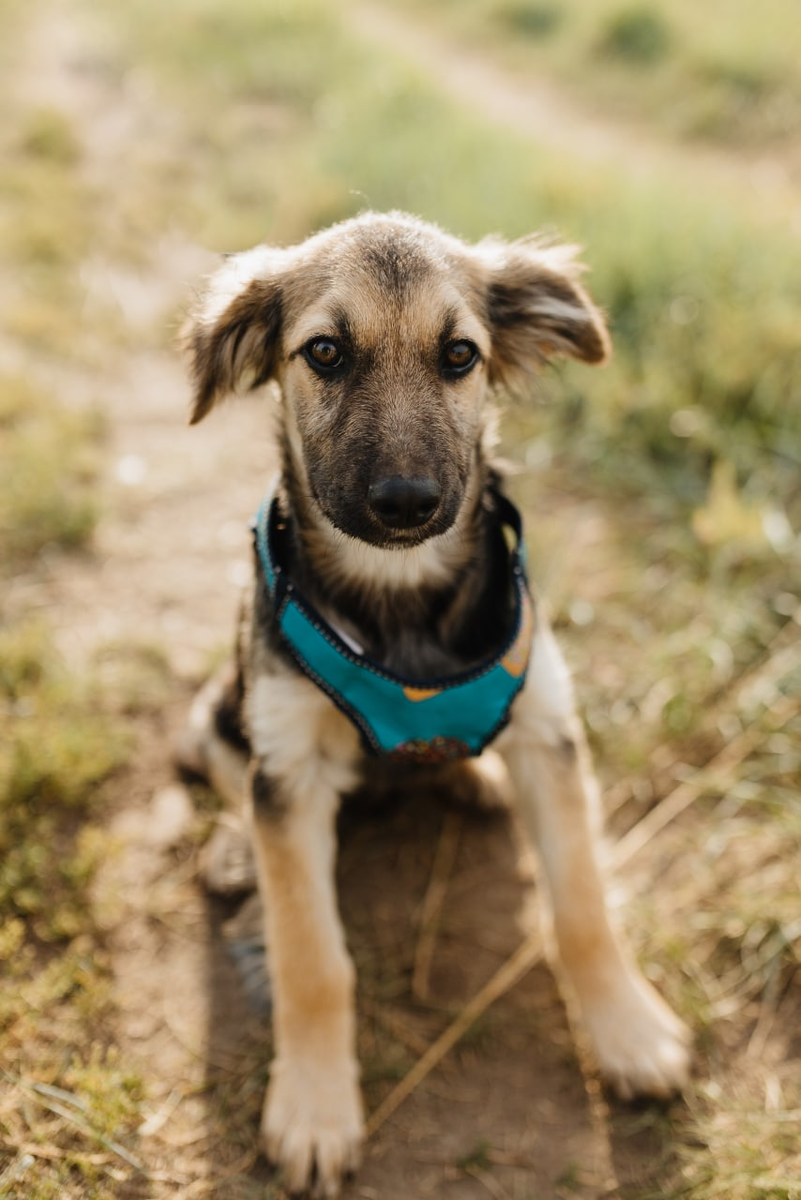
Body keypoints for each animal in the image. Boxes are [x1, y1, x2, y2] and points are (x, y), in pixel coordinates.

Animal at [179, 211, 690, 1195]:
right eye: (325, 352)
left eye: (459, 355)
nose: (407, 503)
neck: (400, 603)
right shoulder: (287, 763)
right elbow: (311, 960)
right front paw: (313, 1107)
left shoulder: (547, 730)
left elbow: (582, 907)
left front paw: (628, 1032)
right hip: (222, 706)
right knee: (228, 780)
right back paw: (236, 856)